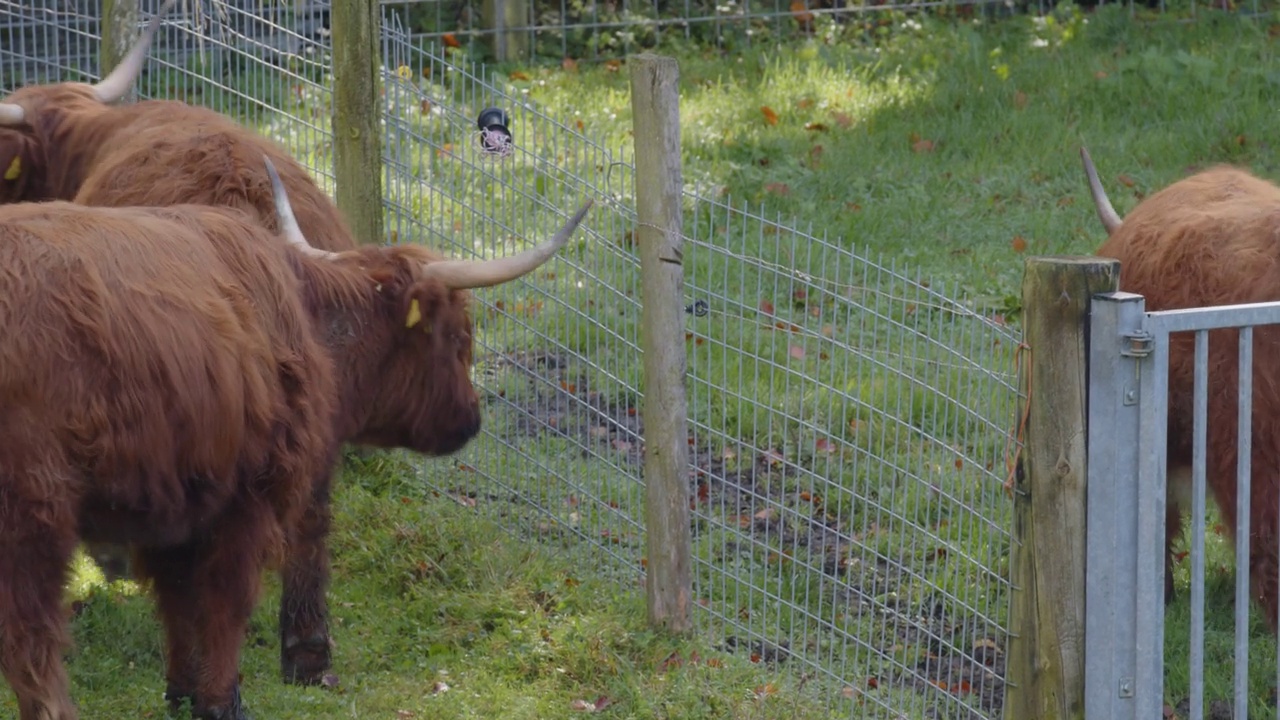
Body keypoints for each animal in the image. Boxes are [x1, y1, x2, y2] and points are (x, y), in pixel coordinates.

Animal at [0, 190, 340, 717]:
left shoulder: (175, 497)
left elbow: (178, 598)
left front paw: (183, 689)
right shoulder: (247, 495)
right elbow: (225, 600)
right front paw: (221, 700)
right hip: (30, 508)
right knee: (29, 636)